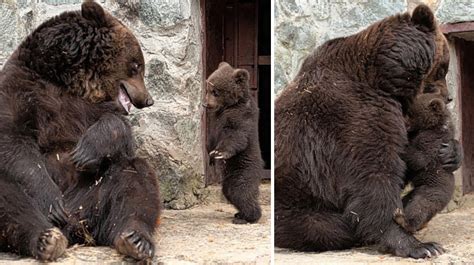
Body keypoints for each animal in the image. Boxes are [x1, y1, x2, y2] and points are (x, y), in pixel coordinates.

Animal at [0, 0, 159, 260]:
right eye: (136, 66)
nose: (148, 100)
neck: (69, 80)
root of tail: (75, 225)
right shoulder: (20, 87)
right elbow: (14, 140)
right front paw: (52, 201)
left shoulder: (91, 109)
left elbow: (119, 130)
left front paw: (85, 152)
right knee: (9, 197)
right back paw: (46, 237)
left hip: (93, 192)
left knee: (135, 178)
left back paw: (135, 239)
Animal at [204, 61, 262, 223]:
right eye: (208, 89)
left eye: (215, 91)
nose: (206, 104)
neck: (229, 105)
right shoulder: (215, 120)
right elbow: (211, 138)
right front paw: (211, 156)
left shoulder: (240, 116)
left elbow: (236, 136)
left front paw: (219, 153)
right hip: (229, 176)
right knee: (229, 192)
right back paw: (239, 214)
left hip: (243, 169)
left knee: (241, 192)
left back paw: (249, 217)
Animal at [274, 4, 460, 256]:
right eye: (443, 69)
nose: (449, 97)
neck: (382, 80)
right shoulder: (353, 115)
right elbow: (374, 175)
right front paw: (419, 245)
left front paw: (451, 152)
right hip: (298, 201)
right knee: (328, 227)